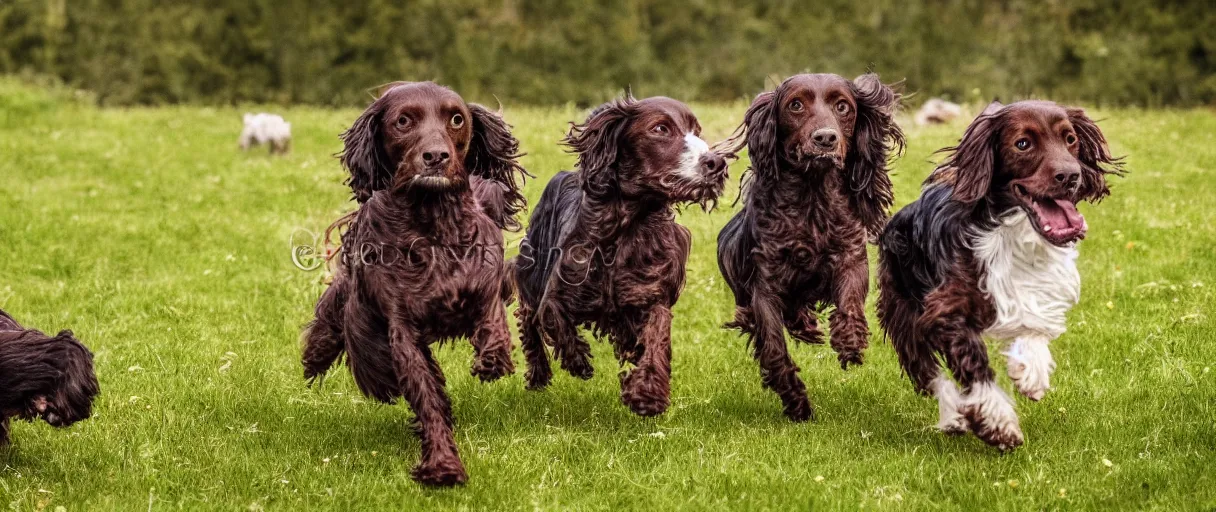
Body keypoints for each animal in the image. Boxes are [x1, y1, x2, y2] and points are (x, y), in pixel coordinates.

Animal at [300, 82, 527, 484]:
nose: (436, 156)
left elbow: (492, 317)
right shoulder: (401, 328)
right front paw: (443, 464)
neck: (431, 224)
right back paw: (316, 354)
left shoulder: (486, 280)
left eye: (457, 119)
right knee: (333, 311)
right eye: (403, 121)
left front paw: (492, 359)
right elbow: (426, 396)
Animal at [510, 94, 724, 415]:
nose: (717, 163)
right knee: (527, 318)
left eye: (696, 131)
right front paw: (579, 362)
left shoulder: (651, 294)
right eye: (660, 128)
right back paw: (538, 375)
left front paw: (648, 393)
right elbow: (554, 320)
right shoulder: (557, 290)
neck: (627, 227)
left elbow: (656, 336)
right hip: (532, 268)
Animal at [715, 73, 909, 420]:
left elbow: (849, 300)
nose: (825, 138)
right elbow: (774, 346)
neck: (812, 197)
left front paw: (850, 341)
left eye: (843, 106)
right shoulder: (765, 286)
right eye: (795, 105)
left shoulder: (850, 255)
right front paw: (796, 403)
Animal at [880, 98, 1123, 447]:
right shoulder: (945, 308)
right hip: (902, 312)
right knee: (928, 374)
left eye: (1070, 139)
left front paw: (1030, 372)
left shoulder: (1040, 287)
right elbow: (973, 363)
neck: (1012, 231)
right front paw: (998, 421)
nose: (1071, 175)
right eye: (1022, 144)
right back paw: (954, 416)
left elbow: (1035, 322)